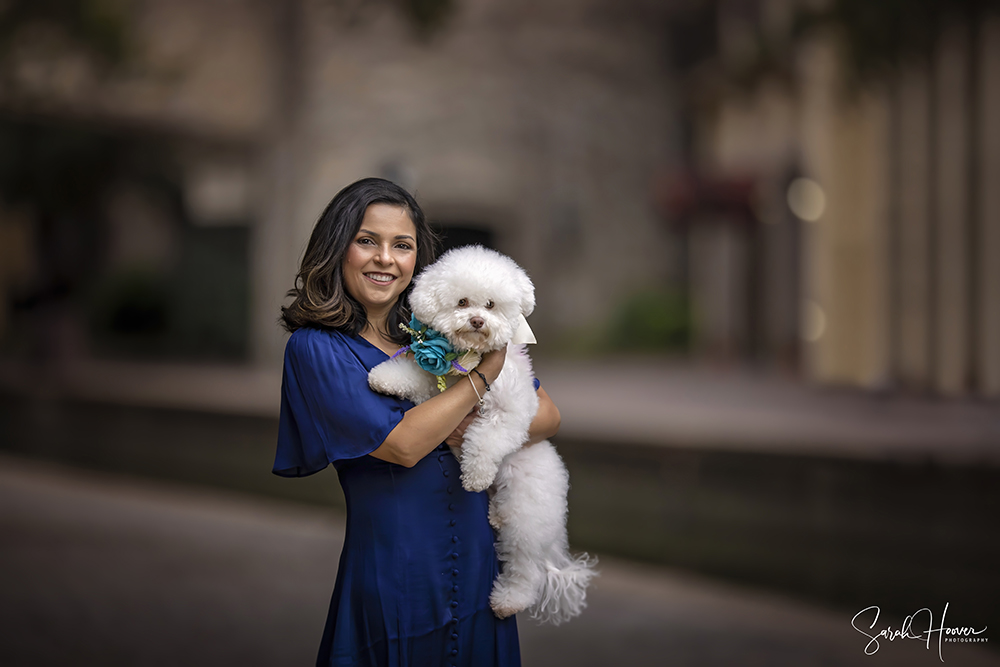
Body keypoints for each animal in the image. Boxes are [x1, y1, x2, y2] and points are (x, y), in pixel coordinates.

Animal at [372, 245, 596, 628]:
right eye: (462, 302)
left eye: (491, 305)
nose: (477, 321)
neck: (469, 357)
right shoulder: (435, 392)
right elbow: (412, 374)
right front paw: (383, 376)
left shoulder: (509, 413)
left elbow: (485, 441)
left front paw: (474, 476)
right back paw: (494, 517)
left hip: (526, 513)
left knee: (526, 568)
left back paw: (509, 600)